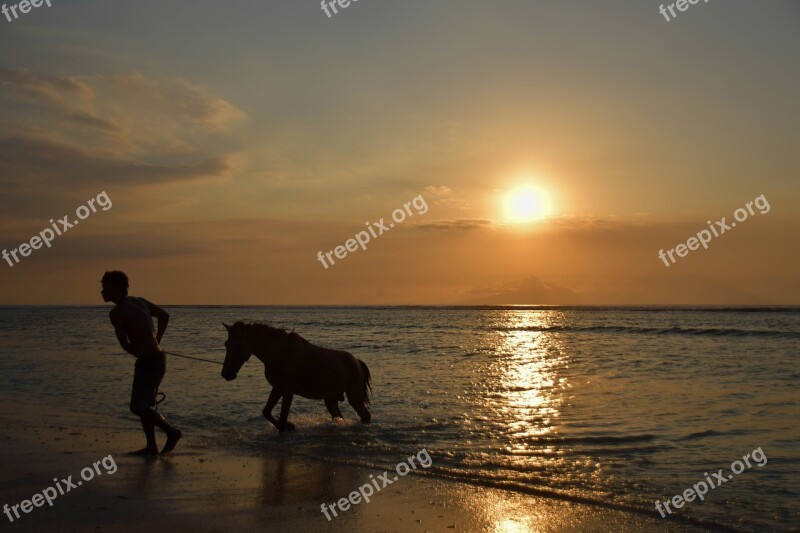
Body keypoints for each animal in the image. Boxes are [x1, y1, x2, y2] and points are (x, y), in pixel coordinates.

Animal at [220, 322, 374, 430]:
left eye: (239, 345)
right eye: (226, 343)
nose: (226, 373)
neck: (280, 353)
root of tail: (357, 361)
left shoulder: (288, 391)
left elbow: (282, 418)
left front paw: (287, 426)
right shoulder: (278, 388)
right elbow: (267, 412)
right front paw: (290, 426)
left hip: (354, 395)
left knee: (365, 415)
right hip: (331, 399)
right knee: (339, 416)